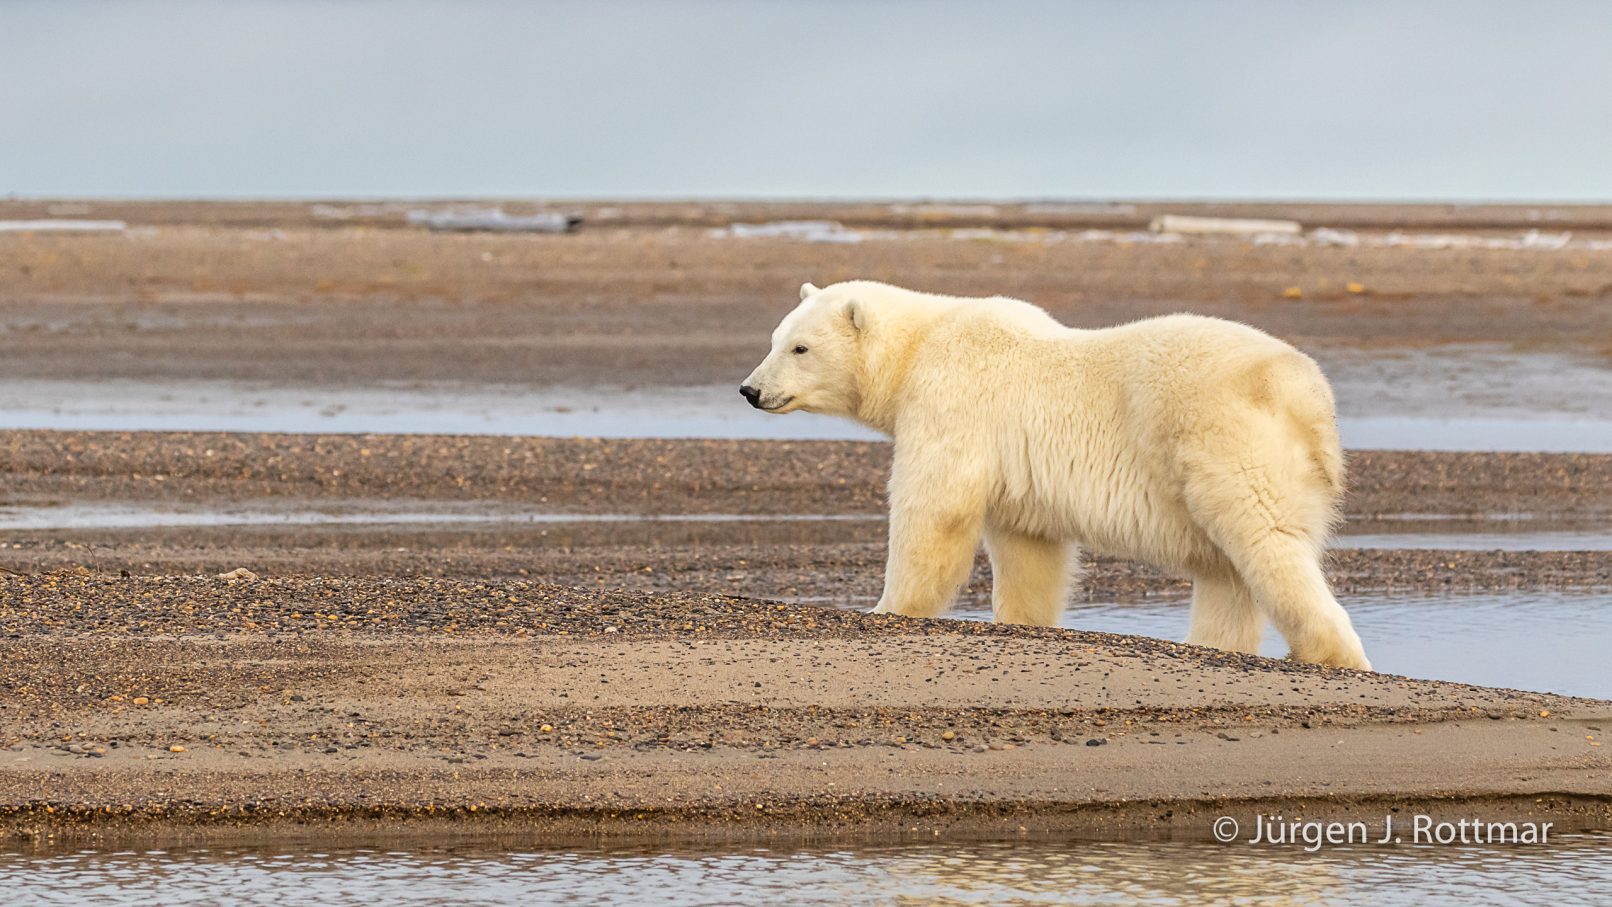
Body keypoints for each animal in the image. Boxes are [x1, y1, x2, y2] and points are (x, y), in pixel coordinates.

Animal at [740, 280, 1371, 670]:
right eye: (774, 339)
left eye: (800, 348)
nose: (749, 389)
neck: (921, 345)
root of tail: (1306, 393)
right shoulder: (1017, 476)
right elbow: (1029, 552)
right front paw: (1021, 620)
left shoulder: (953, 401)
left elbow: (933, 509)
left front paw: (887, 609)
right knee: (1226, 573)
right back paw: (1210, 644)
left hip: (1221, 439)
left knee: (1265, 539)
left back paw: (1330, 654)